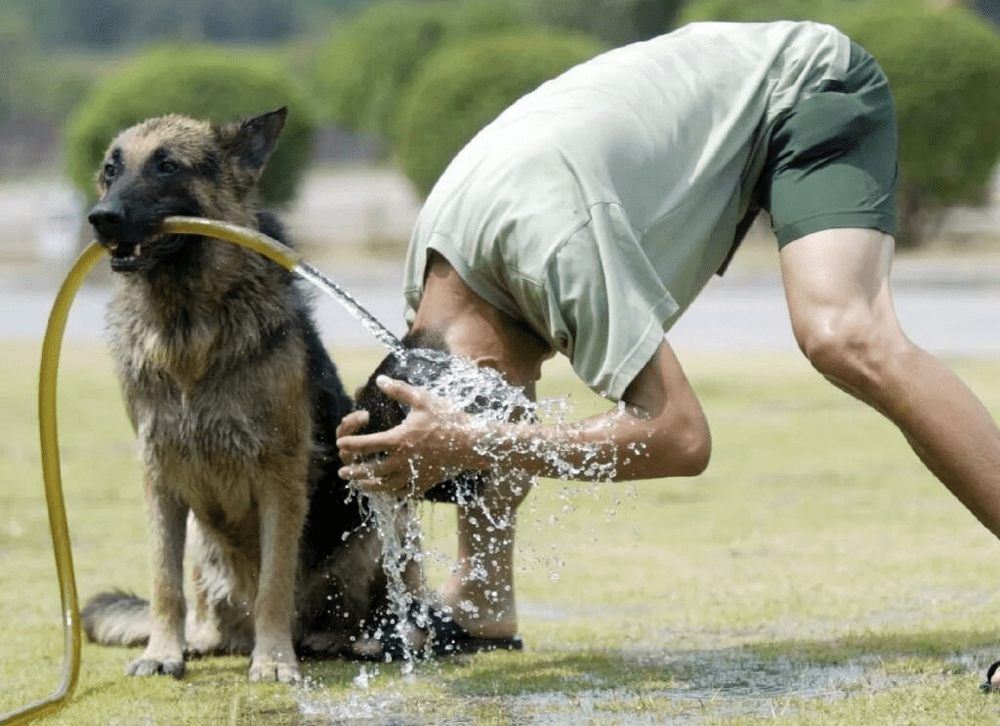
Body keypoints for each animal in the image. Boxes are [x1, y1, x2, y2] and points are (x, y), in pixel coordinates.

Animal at [80, 106, 412, 684]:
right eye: (110, 170)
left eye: (166, 166)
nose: (101, 218)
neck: (188, 327)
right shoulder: (159, 478)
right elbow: (164, 583)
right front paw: (163, 652)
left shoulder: (280, 478)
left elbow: (274, 584)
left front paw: (274, 660)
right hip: (199, 540)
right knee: (206, 610)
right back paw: (202, 641)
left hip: (384, 508)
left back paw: (352, 640)